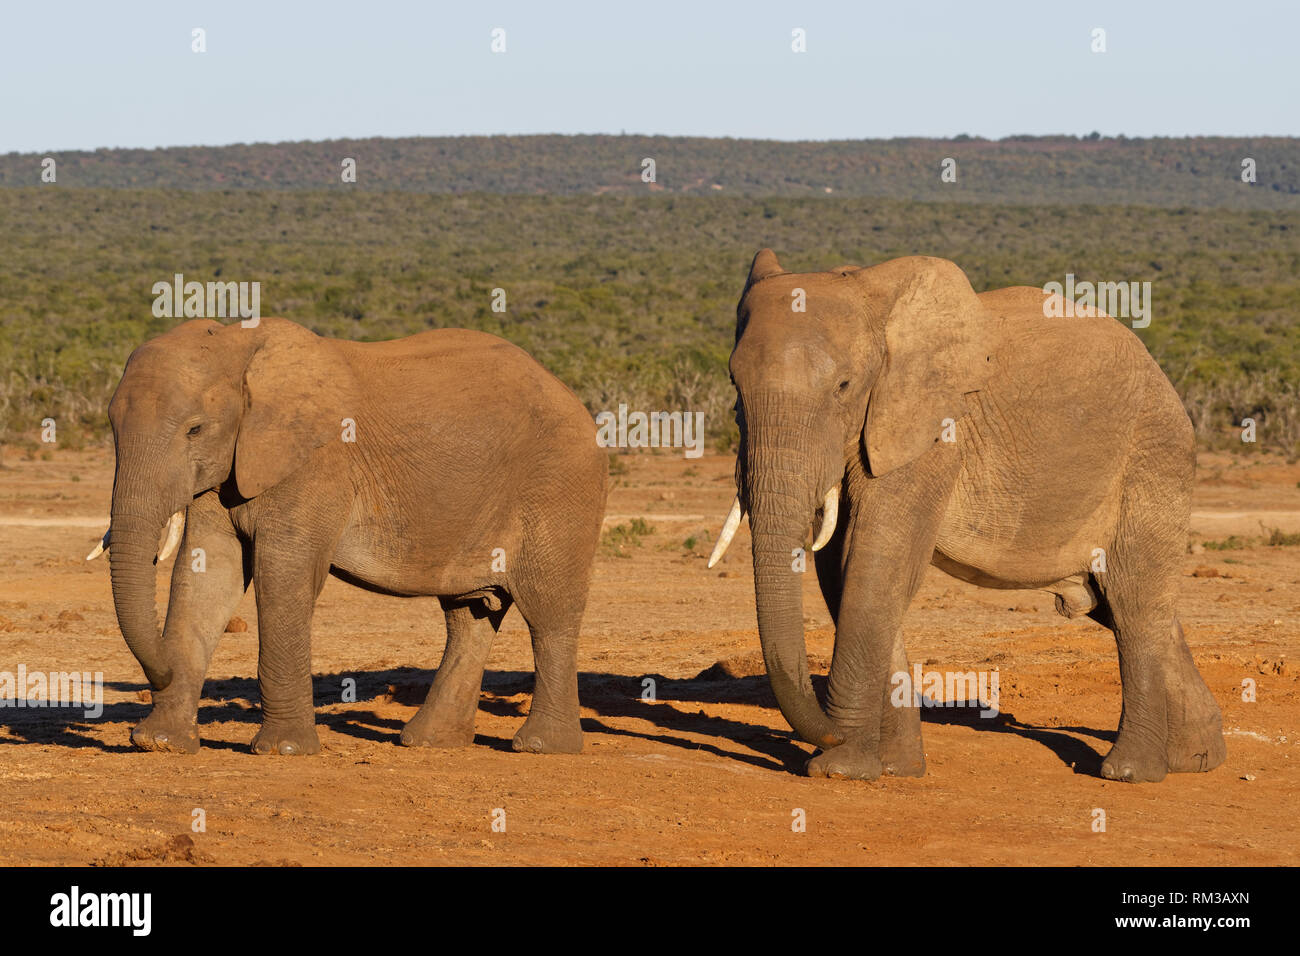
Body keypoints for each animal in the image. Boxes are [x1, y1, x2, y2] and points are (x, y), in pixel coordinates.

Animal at [91, 317, 608, 759]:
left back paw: (541, 746)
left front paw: (283, 751)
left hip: (560, 487)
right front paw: (159, 743)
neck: (242, 345)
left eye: (195, 429)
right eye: (111, 428)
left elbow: (283, 575)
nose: (159, 674)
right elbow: (206, 574)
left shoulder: (317, 463)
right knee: (469, 615)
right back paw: (427, 742)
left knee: (548, 613)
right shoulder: (228, 466)